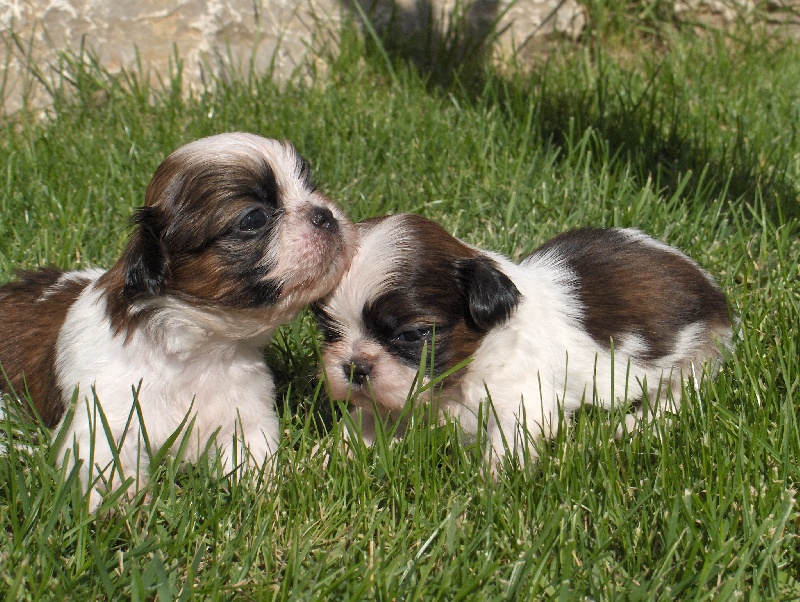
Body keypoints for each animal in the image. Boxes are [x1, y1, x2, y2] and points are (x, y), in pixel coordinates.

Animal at [0, 131, 354, 506]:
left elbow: (253, 453)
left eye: (310, 186)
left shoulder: (244, 414)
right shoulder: (103, 409)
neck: (195, 351)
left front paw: (267, 490)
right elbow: (107, 456)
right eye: (254, 219)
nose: (324, 214)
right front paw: (121, 503)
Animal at [316, 213, 736, 466]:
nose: (354, 367)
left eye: (412, 335)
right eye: (329, 332)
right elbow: (363, 421)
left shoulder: (521, 399)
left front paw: (490, 490)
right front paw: (322, 460)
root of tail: (710, 287)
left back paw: (633, 425)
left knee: (677, 397)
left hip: (695, 356)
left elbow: (506, 445)